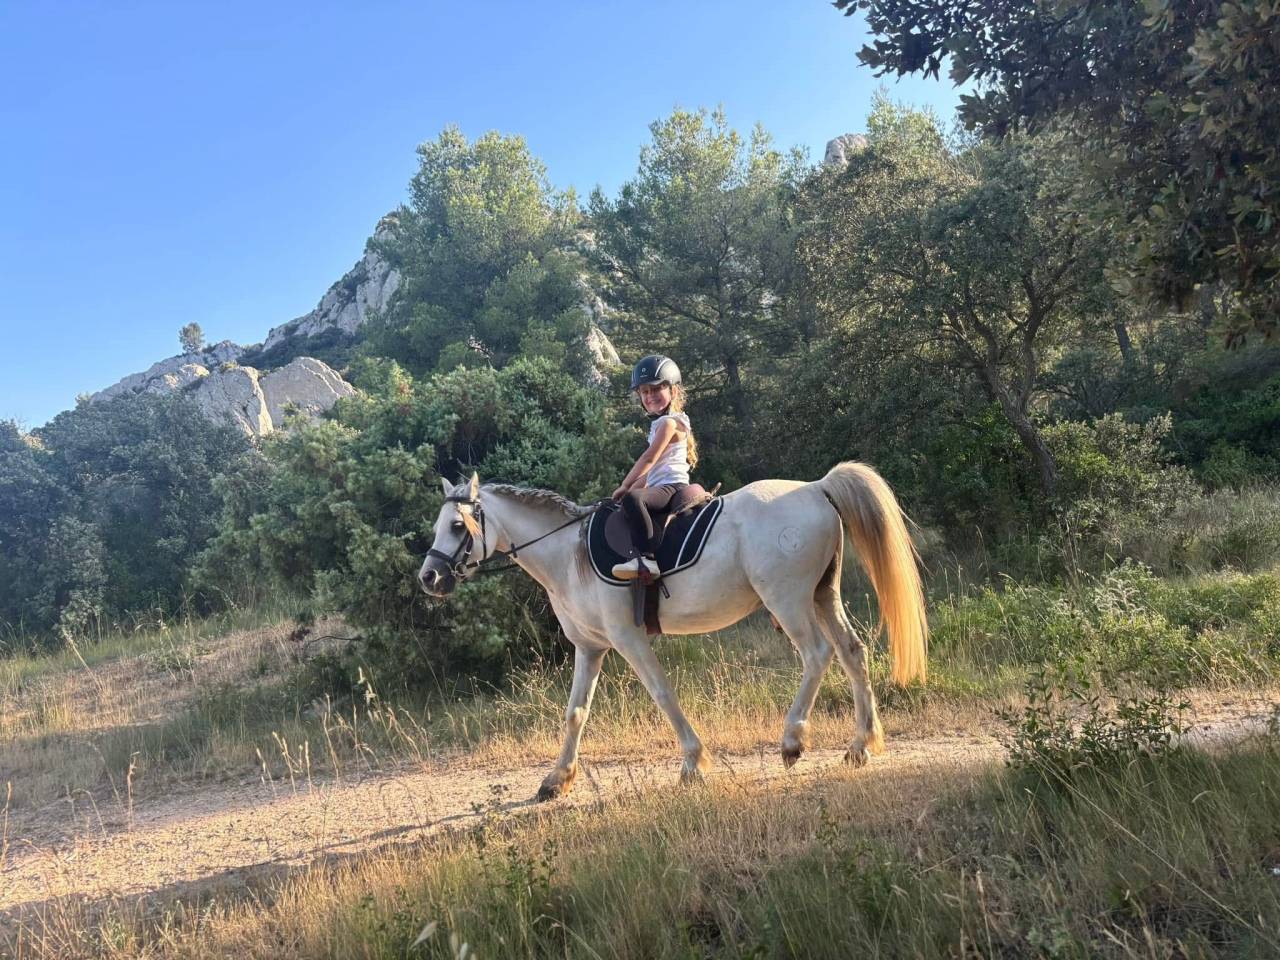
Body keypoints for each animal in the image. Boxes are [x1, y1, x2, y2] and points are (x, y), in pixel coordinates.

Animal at [418, 462, 927, 801]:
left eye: (457, 525)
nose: (429, 577)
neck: (566, 554)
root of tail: (817, 488)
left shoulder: (628, 640)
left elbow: (663, 695)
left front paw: (693, 763)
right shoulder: (590, 648)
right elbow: (575, 713)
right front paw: (556, 779)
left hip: (788, 599)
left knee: (818, 654)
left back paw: (792, 741)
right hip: (823, 594)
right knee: (853, 652)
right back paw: (861, 745)